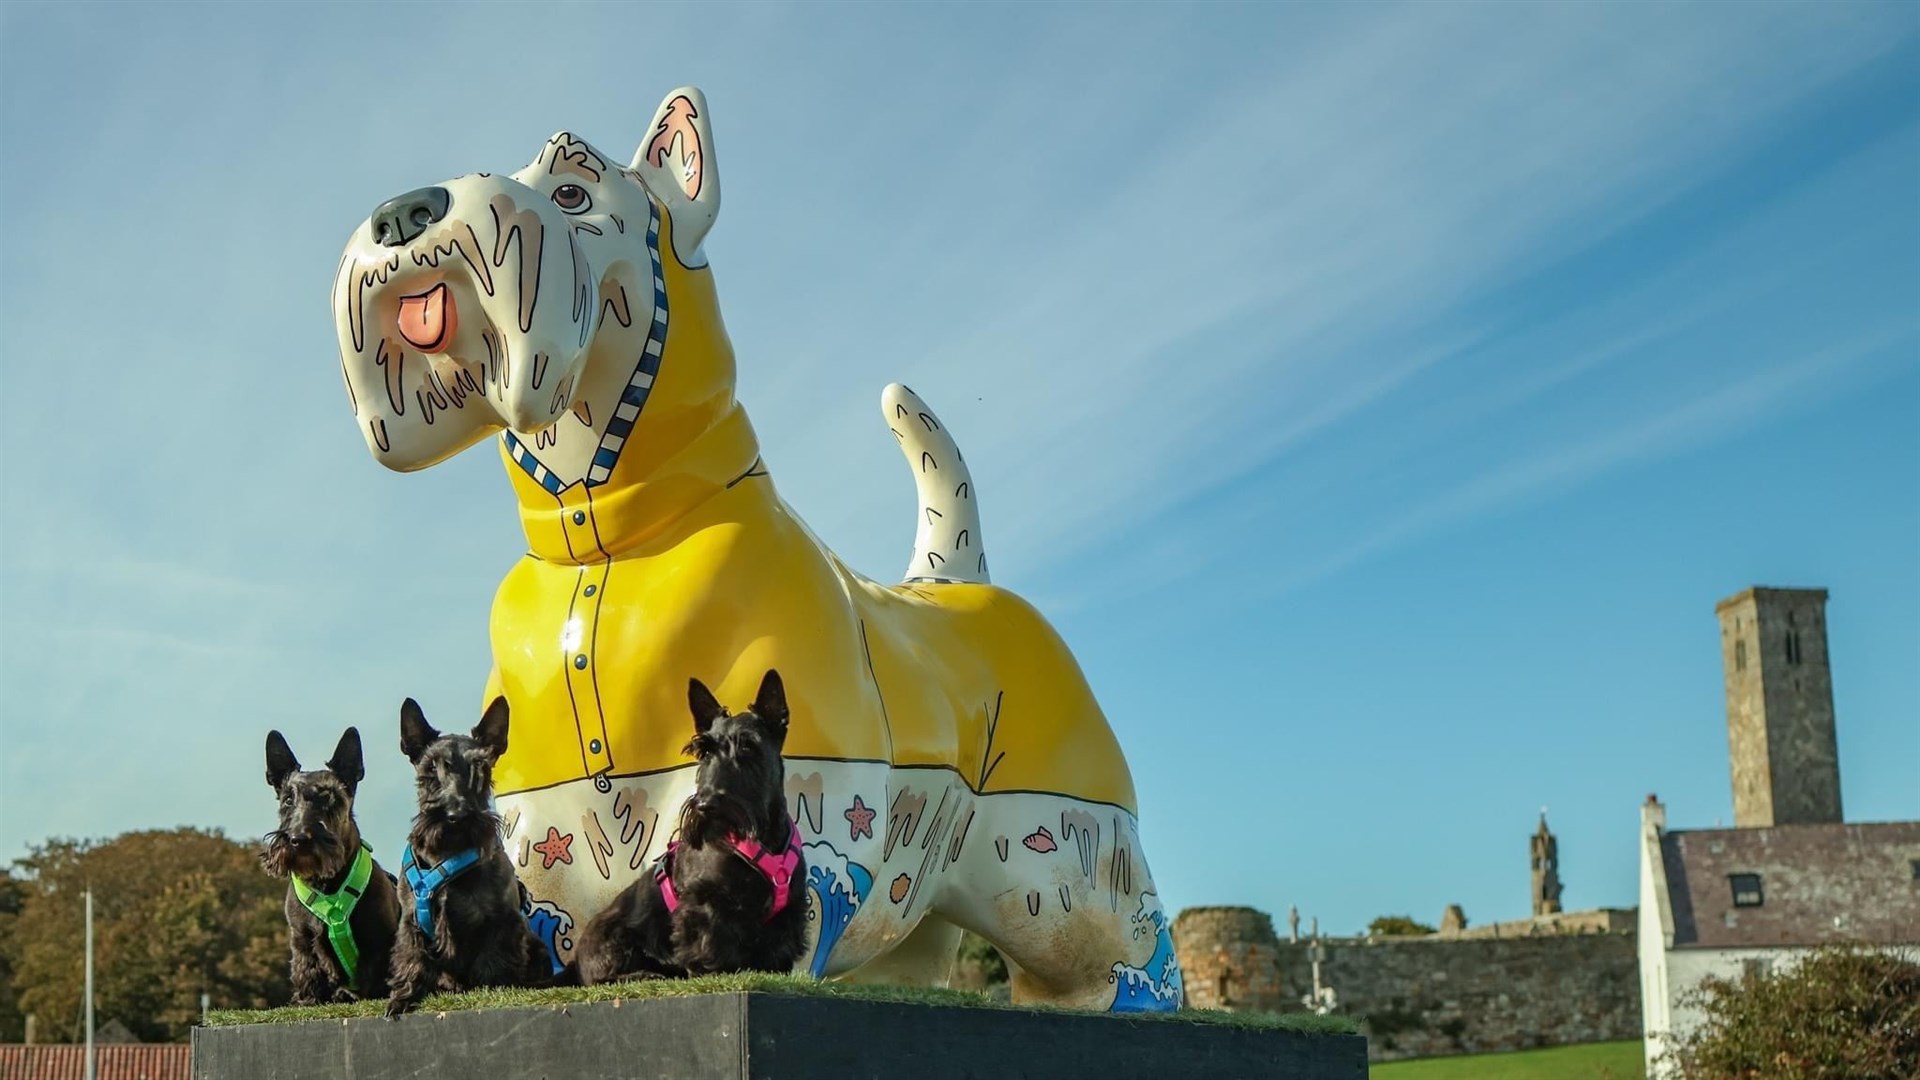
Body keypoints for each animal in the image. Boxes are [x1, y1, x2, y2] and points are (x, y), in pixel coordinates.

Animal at [259, 722, 401, 999]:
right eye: (288, 800)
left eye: (330, 798)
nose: (298, 839)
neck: (325, 883)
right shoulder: (302, 941)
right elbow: (308, 976)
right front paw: (307, 1000)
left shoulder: (379, 942)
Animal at [376, 691, 552, 1014]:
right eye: (430, 770)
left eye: (480, 768)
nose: (455, 815)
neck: (448, 854)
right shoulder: (410, 921)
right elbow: (411, 958)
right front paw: (403, 997)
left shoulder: (502, 919)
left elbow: (493, 959)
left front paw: (493, 988)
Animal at [568, 668, 810, 991]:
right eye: (703, 752)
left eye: (748, 746)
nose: (706, 804)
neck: (760, 839)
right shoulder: (704, 902)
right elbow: (708, 943)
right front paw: (713, 972)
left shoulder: (788, 911)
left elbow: (777, 948)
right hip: (616, 936)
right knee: (601, 979)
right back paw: (644, 975)